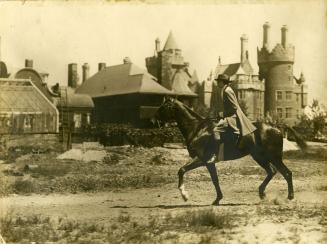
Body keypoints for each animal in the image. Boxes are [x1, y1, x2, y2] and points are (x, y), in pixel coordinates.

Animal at [156, 98, 308, 205]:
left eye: (163, 107)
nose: (153, 121)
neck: (198, 129)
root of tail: (276, 126)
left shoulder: (205, 160)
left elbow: (209, 178)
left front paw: (190, 196)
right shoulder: (204, 161)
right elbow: (189, 172)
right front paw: (190, 196)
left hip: (273, 157)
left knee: (286, 173)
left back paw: (289, 197)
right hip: (259, 157)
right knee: (272, 171)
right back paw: (262, 193)